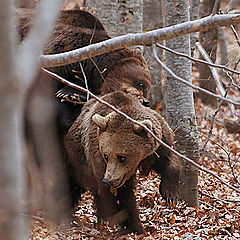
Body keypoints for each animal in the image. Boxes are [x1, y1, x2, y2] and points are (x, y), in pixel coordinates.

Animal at [64, 91, 179, 233]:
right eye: (106, 156)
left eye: (121, 157)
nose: (108, 180)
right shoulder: (97, 156)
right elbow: (122, 196)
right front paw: (136, 227)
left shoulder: (158, 145)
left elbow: (169, 160)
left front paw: (170, 195)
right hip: (76, 160)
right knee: (71, 185)